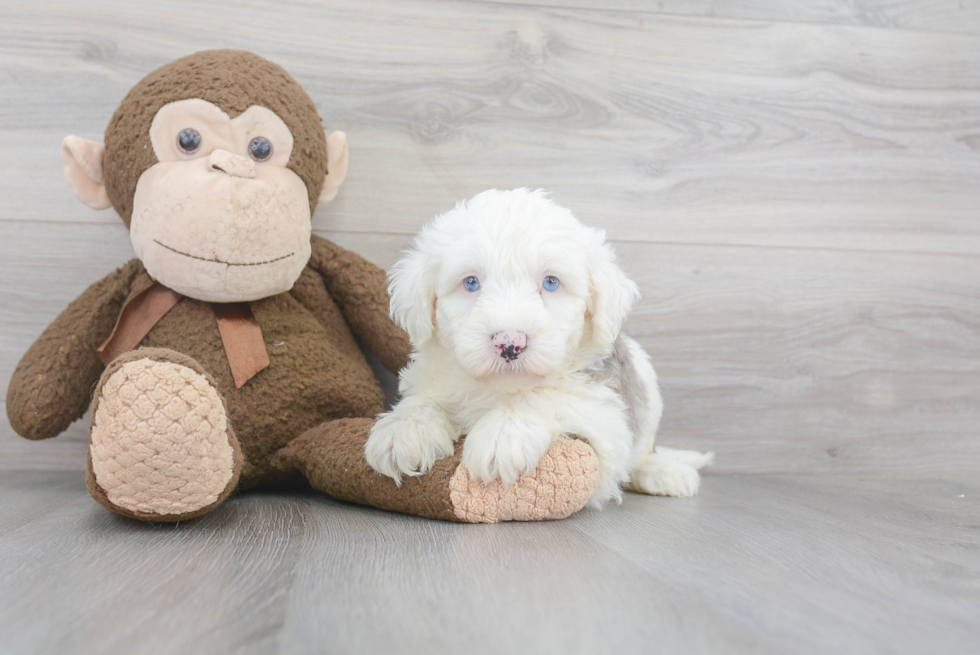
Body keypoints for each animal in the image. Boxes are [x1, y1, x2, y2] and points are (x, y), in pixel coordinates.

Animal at [368, 190, 712, 508]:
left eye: (551, 282)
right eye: (470, 283)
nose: (509, 343)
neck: (497, 389)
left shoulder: (606, 414)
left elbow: (545, 394)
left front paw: (501, 436)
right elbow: (425, 400)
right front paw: (403, 429)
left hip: (647, 385)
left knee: (643, 451)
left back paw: (662, 472)